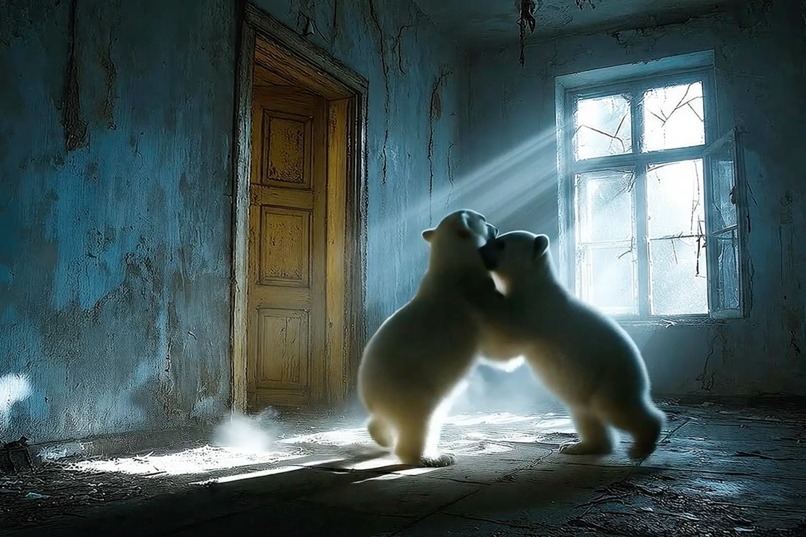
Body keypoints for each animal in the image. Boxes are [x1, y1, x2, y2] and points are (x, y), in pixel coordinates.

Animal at [357, 209, 503, 467]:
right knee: (420, 421)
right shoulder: (472, 294)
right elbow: (494, 335)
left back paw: (384, 437)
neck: (451, 267)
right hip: (412, 387)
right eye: (483, 219)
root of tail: (370, 395)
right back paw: (433, 457)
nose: (495, 229)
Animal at [477, 230, 666, 459]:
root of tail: (641, 371)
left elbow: (505, 348)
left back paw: (642, 444)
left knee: (615, 409)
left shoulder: (535, 312)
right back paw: (577, 446)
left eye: (501, 243)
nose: (480, 250)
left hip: (610, 378)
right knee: (584, 413)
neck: (534, 284)